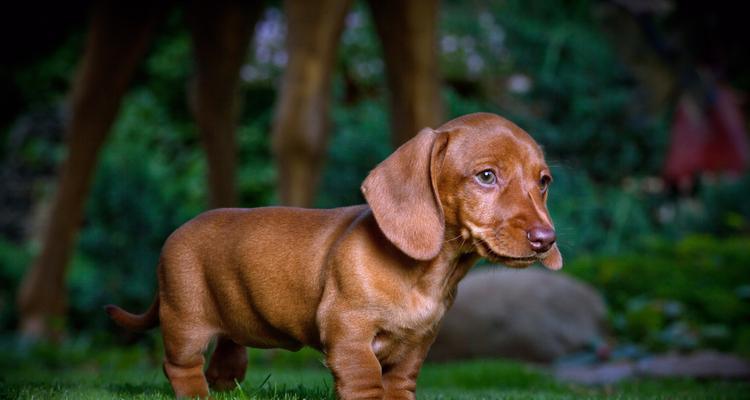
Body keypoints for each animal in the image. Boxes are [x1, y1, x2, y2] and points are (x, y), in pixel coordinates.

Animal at [107, 111, 564, 396]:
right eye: (486, 176)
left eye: (543, 181)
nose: (546, 238)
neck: (427, 274)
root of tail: (176, 233)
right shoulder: (348, 332)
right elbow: (366, 382)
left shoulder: (417, 344)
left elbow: (400, 384)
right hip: (185, 322)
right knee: (180, 367)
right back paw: (198, 394)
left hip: (233, 318)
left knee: (228, 351)